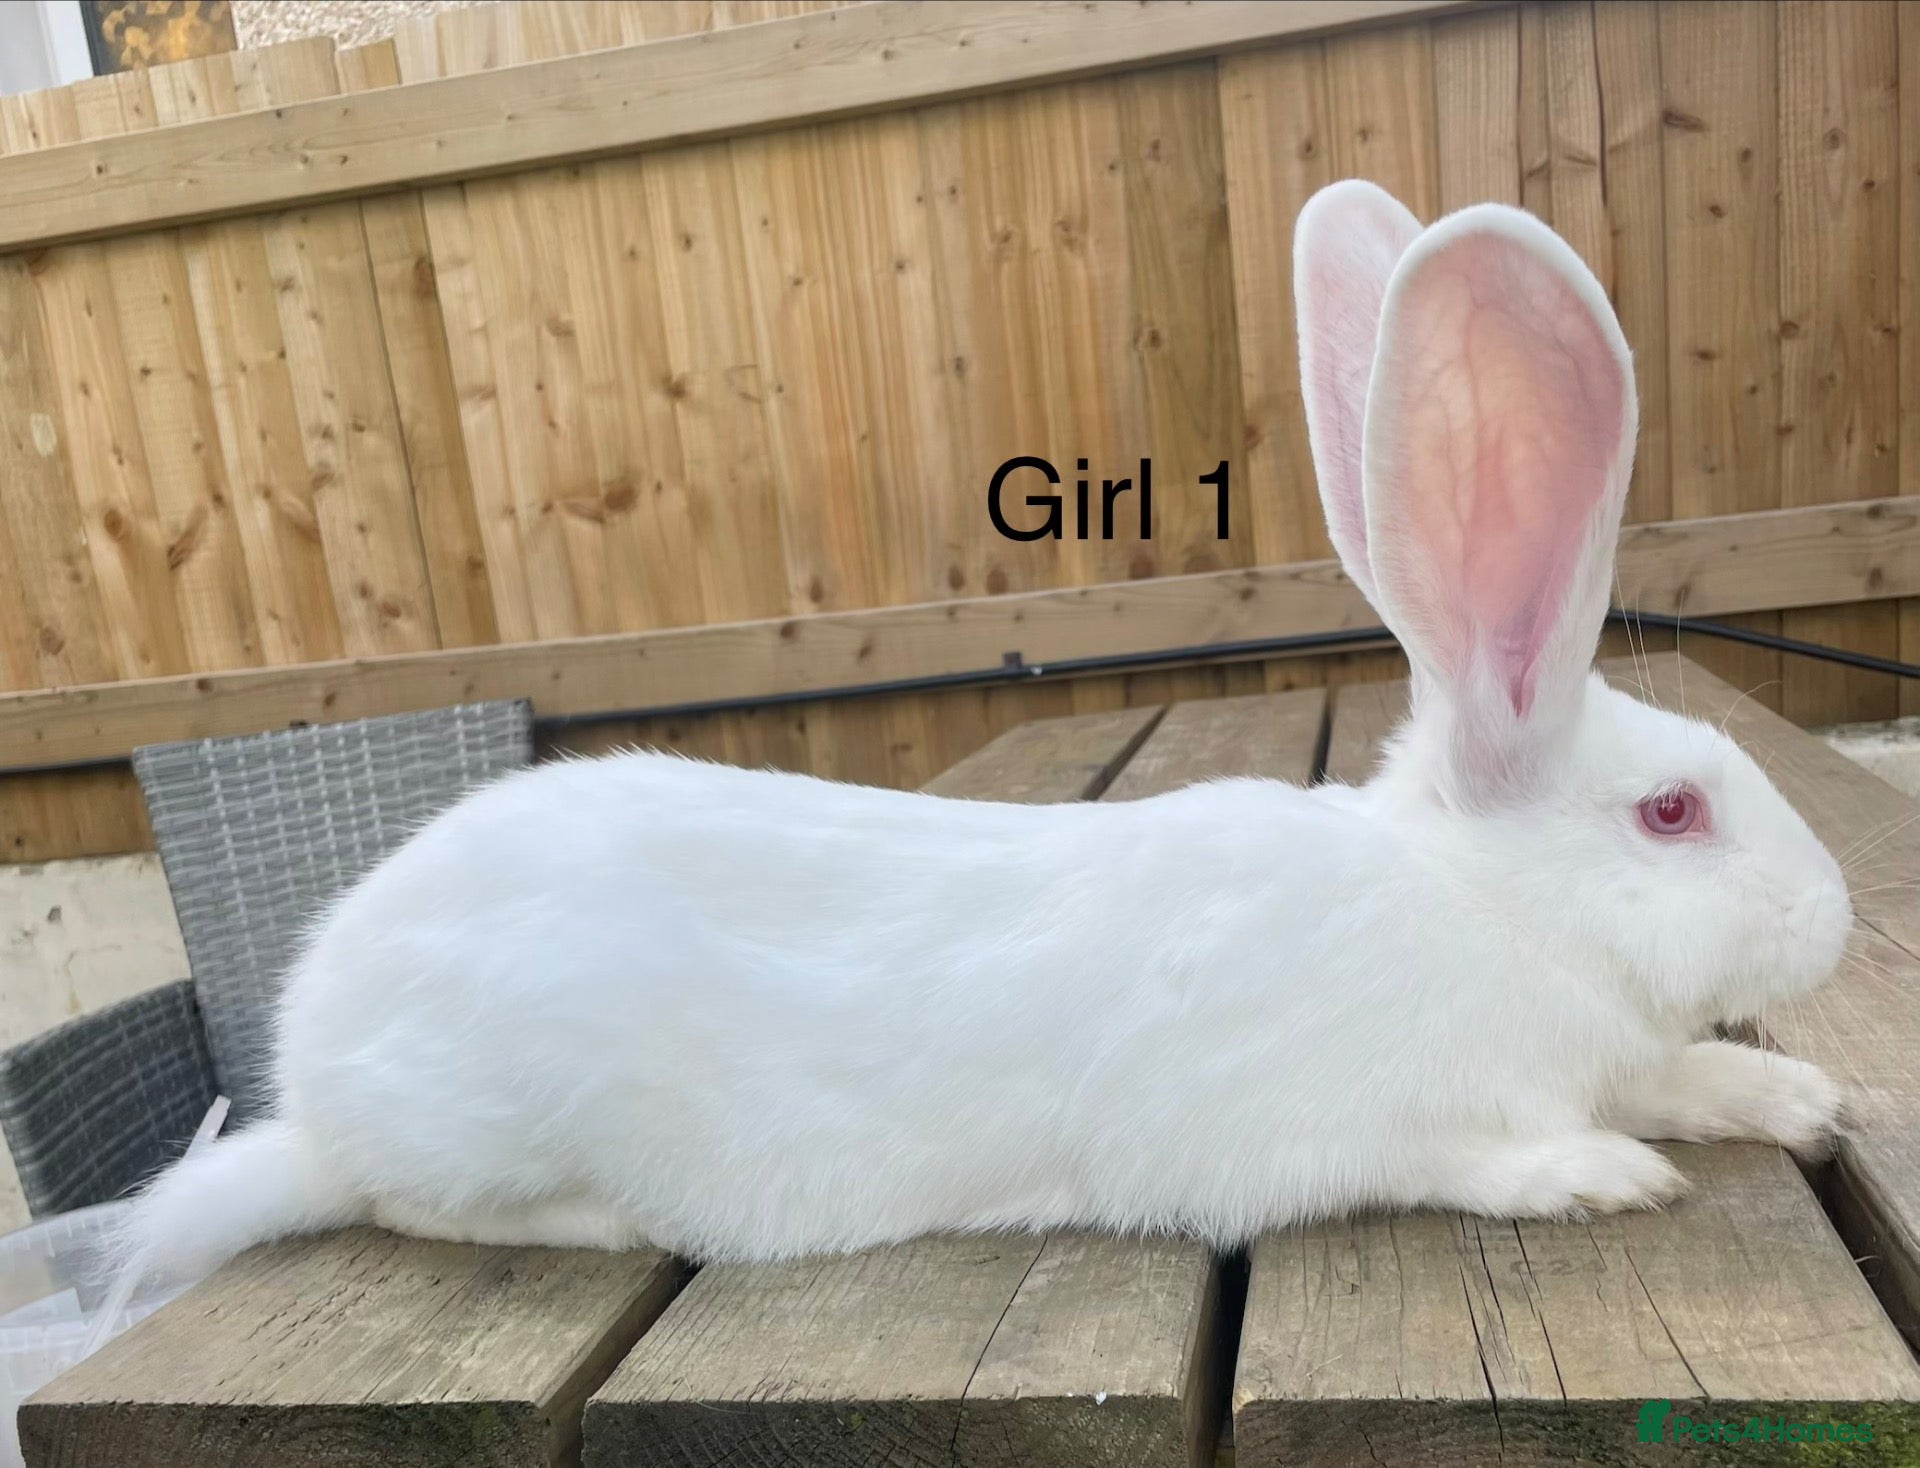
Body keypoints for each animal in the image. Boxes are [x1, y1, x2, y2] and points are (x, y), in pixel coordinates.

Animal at [122, 181, 1852, 1283]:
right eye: (1674, 813)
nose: (1838, 918)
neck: (1481, 912)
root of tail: (310, 1083)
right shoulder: (1310, 1124)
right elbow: (1456, 1158)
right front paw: (1595, 1178)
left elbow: (1682, 1072)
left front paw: (1799, 1102)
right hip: (476, 1123)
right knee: (416, 1207)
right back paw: (606, 1226)